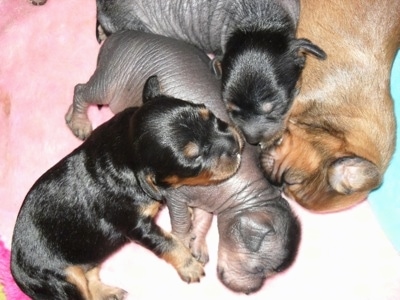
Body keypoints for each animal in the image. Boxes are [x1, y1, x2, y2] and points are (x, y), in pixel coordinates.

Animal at [10, 75, 242, 300]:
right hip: (60, 278)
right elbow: (168, 242)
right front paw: (190, 266)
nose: (237, 146)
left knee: (90, 279)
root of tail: (16, 272)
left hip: (93, 255)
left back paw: (109, 293)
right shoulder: (136, 225)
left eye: (209, 115)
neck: (127, 150)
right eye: (194, 157)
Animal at [65, 31, 300, 296]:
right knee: (82, 90)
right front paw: (183, 244)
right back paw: (79, 122)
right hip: (108, 82)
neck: (246, 189)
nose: (249, 292)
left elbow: (203, 220)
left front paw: (198, 243)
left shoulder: (208, 200)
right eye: (260, 270)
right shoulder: (175, 195)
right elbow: (180, 222)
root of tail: (117, 35)